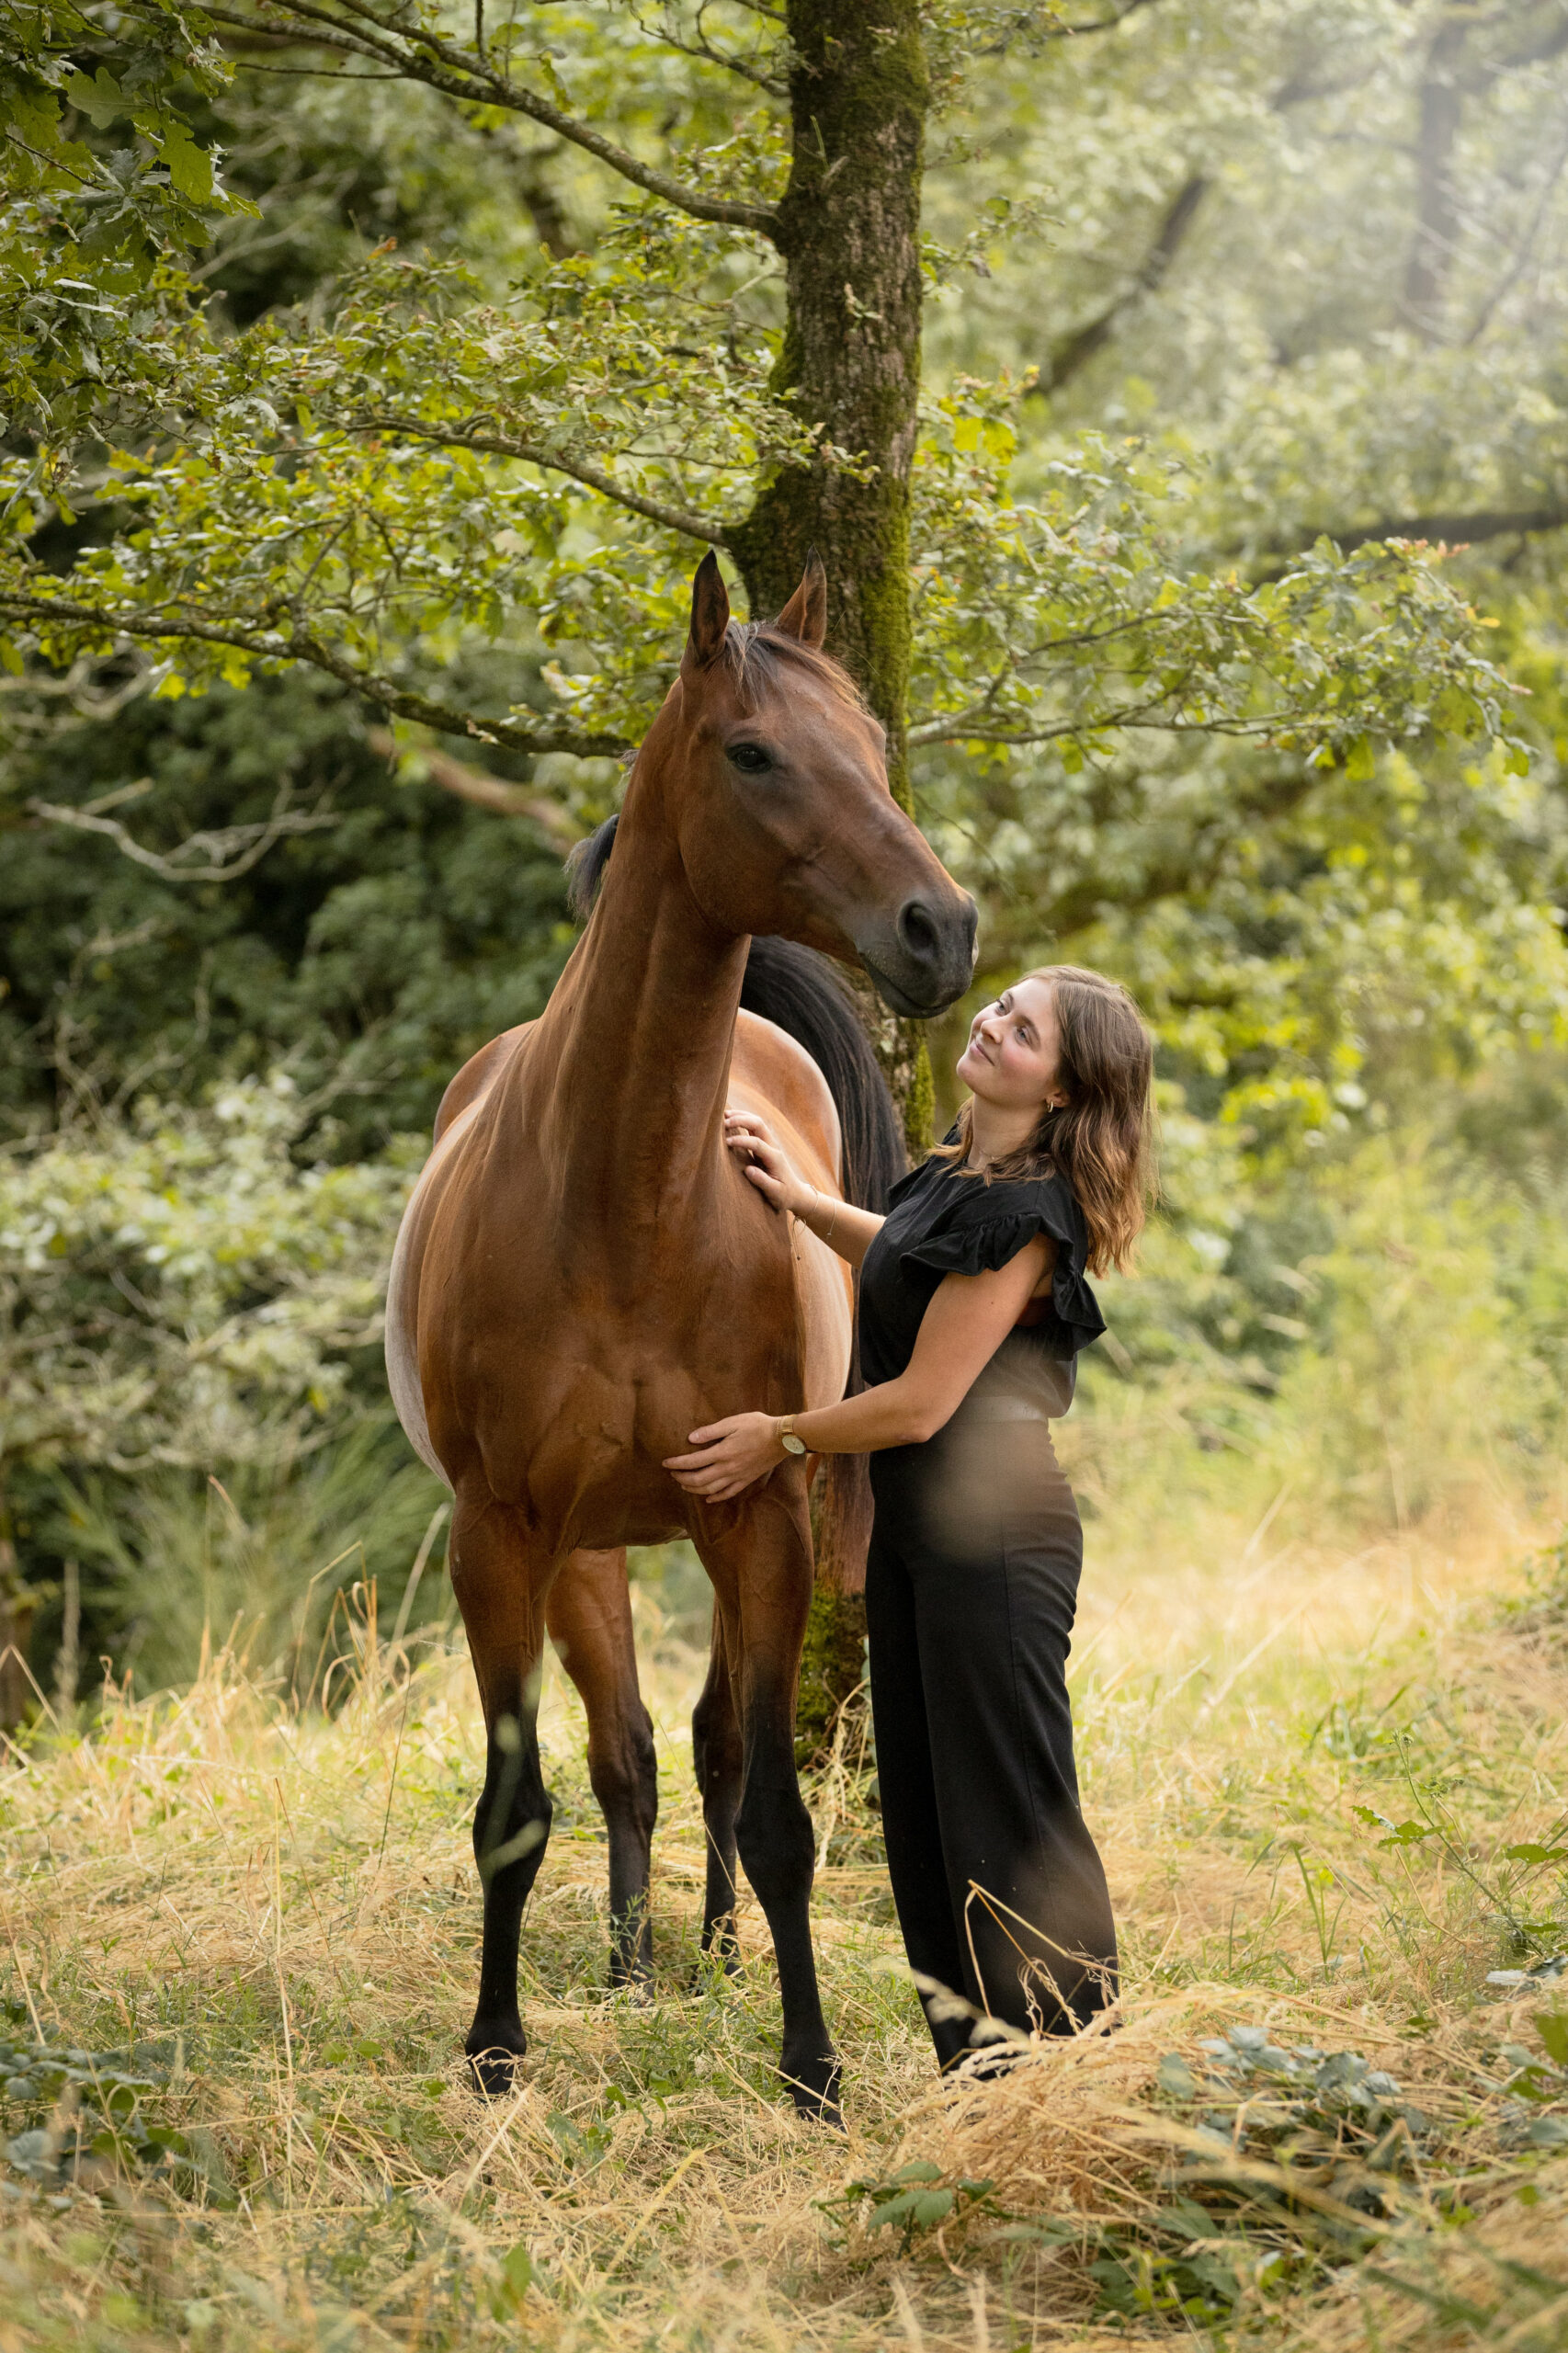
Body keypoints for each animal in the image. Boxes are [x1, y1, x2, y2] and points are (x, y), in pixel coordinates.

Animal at [385, 551, 976, 2120]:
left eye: (874, 748)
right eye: (752, 752)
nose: (940, 928)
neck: (624, 1204)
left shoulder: (757, 1515)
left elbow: (770, 1806)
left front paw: (810, 2064)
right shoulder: (499, 1534)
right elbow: (516, 1806)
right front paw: (494, 2049)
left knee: (705, 1751)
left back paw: (705, 1952)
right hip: (584, 1548)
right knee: (629, 1757)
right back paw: (632, 1961)